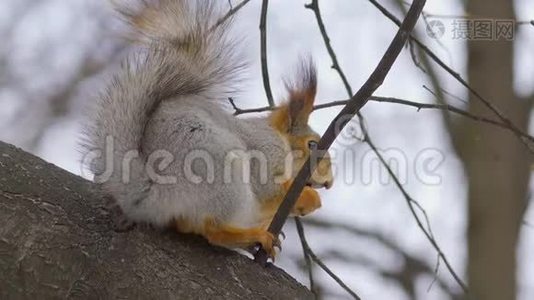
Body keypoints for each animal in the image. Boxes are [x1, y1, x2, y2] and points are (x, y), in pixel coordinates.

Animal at [81, 0, 332, 258]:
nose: (330, 182)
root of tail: (152, 196)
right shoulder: (266, 150)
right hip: (221, 170)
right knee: (213, 230)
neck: (279, 139)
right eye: (312, 144)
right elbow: (268, 191)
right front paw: (308, 198)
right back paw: (250, 236)